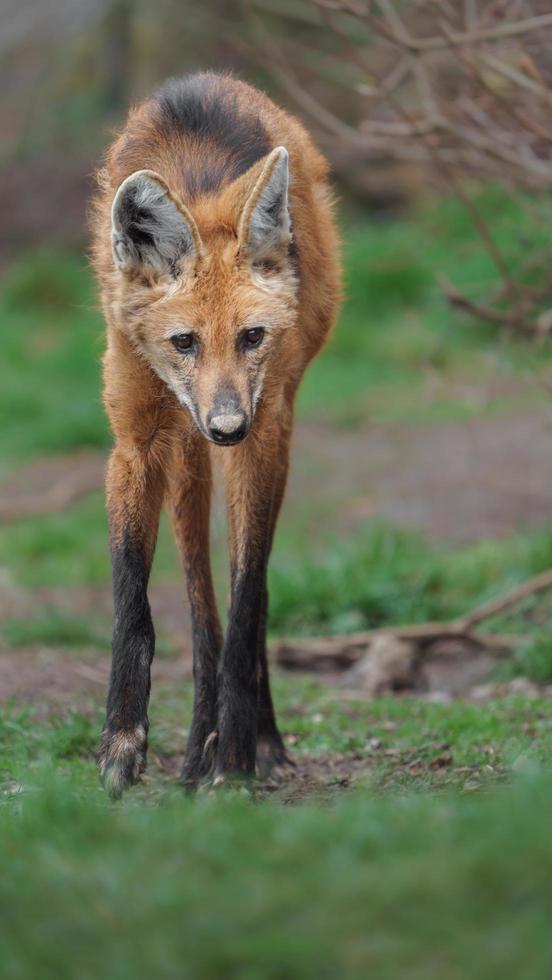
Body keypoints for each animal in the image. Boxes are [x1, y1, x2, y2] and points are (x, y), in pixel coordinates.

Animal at [91, 74, 340, 796]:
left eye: (252, 336)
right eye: (184, 342)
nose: (227, 425)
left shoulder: (265, 430)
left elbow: (248, 595)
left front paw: (236, 757)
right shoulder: (138, 437)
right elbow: (134, 603)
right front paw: (123, 742)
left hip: (263, 431)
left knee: (244, 601)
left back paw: (254, 742)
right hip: (186, 451)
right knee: (200, 597)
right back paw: (197, 745)